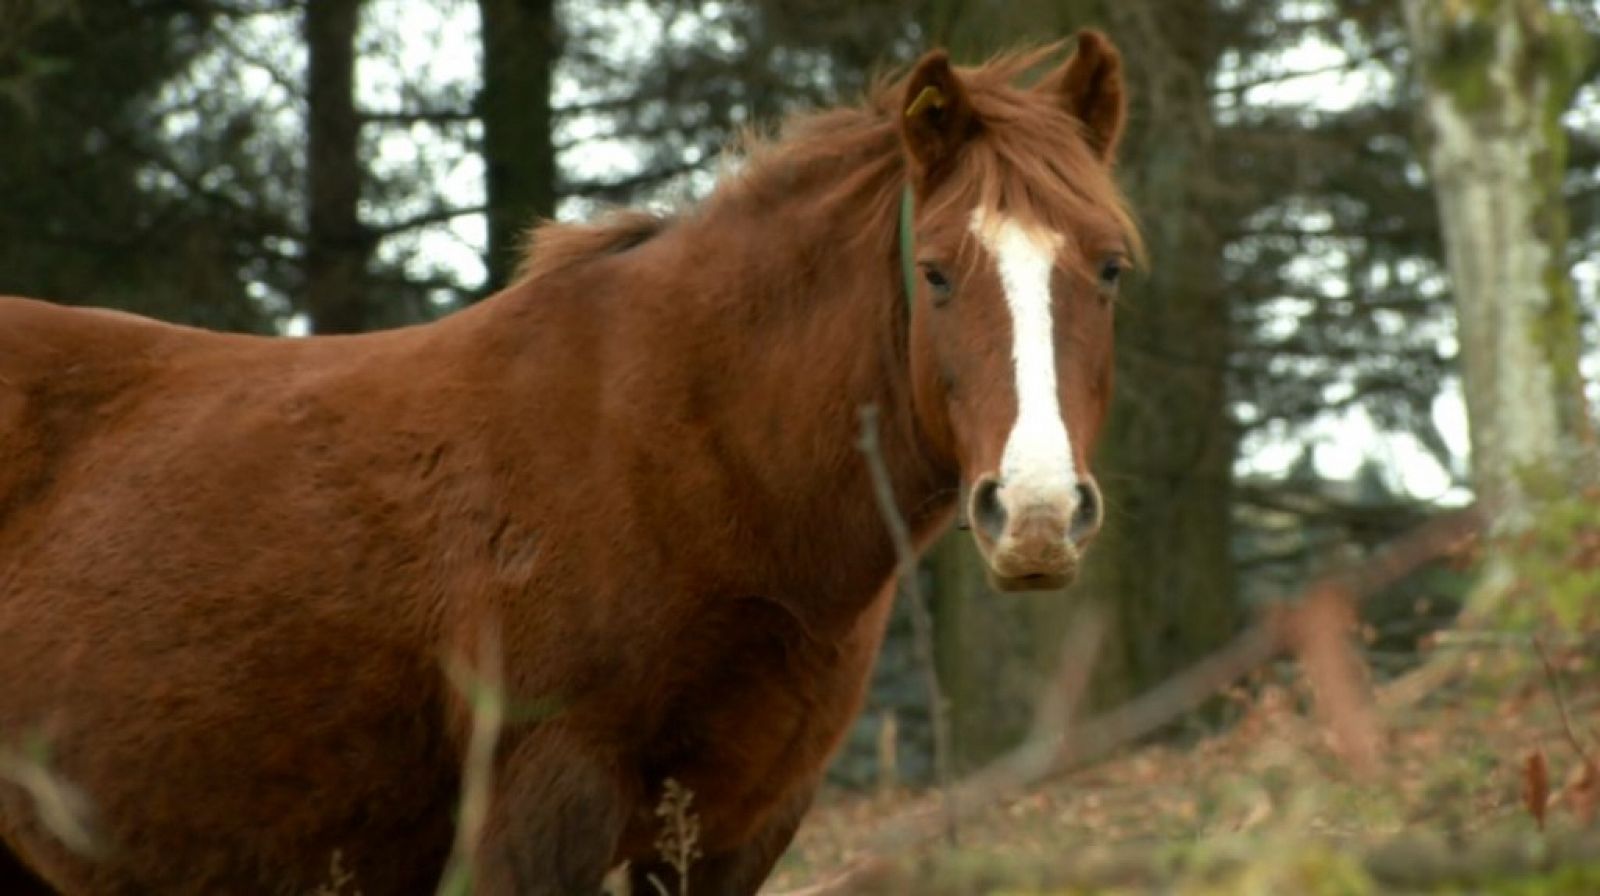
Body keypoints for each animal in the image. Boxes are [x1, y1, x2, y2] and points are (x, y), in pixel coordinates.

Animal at [0, 31, 1139, 889]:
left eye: (1112, 267)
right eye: (937, 272)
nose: (1036, 514)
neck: (687, 455)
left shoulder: (735, 830)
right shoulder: (542, 809)